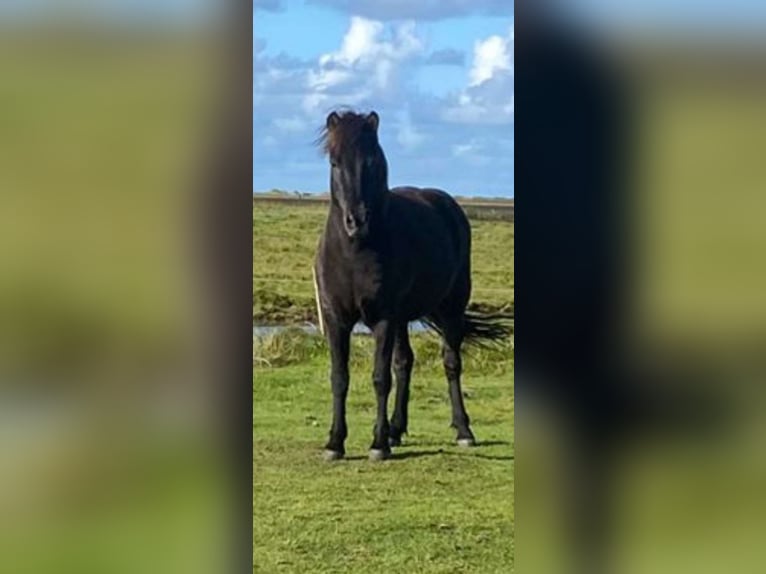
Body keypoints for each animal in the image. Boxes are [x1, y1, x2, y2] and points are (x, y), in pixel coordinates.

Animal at [313, 110, 512, 461]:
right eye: (335, 162)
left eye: (372, 161)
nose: (356, 221)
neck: (356, 252)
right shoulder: (337, 318)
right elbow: (339, 377)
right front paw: (335, 443)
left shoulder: (383, 319)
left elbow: (380, 377)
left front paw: (377, 445)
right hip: (403, 319)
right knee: (405, 363)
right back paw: (396, 430)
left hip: (450, 310)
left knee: (451, 363)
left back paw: (463, 431)